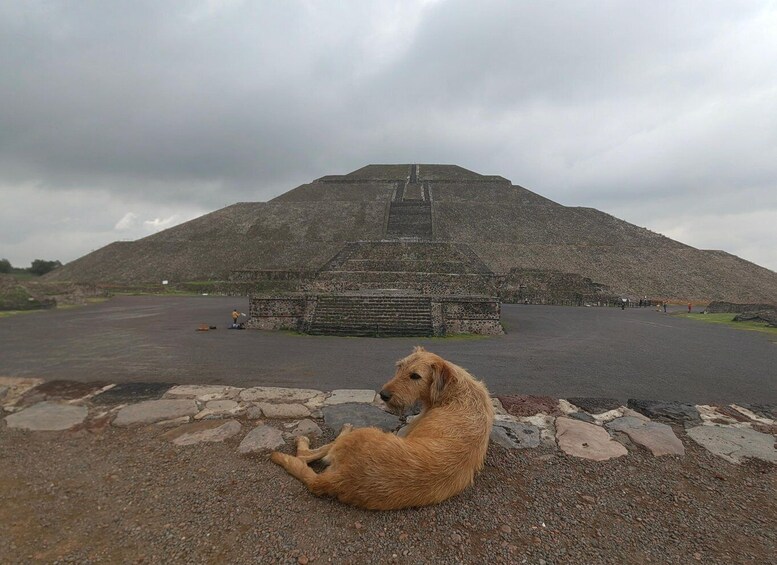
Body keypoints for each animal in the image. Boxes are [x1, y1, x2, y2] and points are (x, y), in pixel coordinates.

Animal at [270, 346, 494, 508]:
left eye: (415, 376)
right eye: (399, 367)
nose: (384, 395)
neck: (455, 391)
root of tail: (341, 478)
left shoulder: (407, 429)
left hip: (363, 434)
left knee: (307, 454)